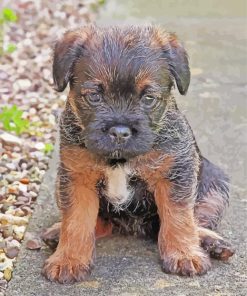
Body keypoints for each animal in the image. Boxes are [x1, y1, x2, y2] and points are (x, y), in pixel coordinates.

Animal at [42, 26, 233, 284]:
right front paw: (69, 259)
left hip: (214, 185)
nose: (120, 132)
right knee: (100, 223)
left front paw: (183, 254)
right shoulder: (75, 178)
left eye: (148, 98)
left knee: (197, 219)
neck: (120, 159)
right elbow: (76, 221)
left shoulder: (176, 173)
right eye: (94, 96)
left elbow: (179, 217)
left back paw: (211, 242)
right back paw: (57, 232)